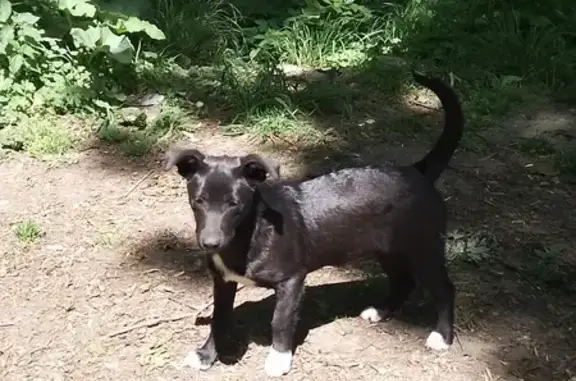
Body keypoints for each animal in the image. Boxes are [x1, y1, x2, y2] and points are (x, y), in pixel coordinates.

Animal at [165, 72, 464, 378]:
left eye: (234, 204)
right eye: (199, 201)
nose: (210, 243)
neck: (250, 233)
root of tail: (416, 171)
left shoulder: (292, 280)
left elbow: (280, 321)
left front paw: (279, 359)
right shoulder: (223, 281)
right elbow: (219, 319)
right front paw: (205, 355)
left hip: (424, 249)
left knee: (444, 290)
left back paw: (442, 337)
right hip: (387, 249)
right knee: (403, 282)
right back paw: (380, 312)